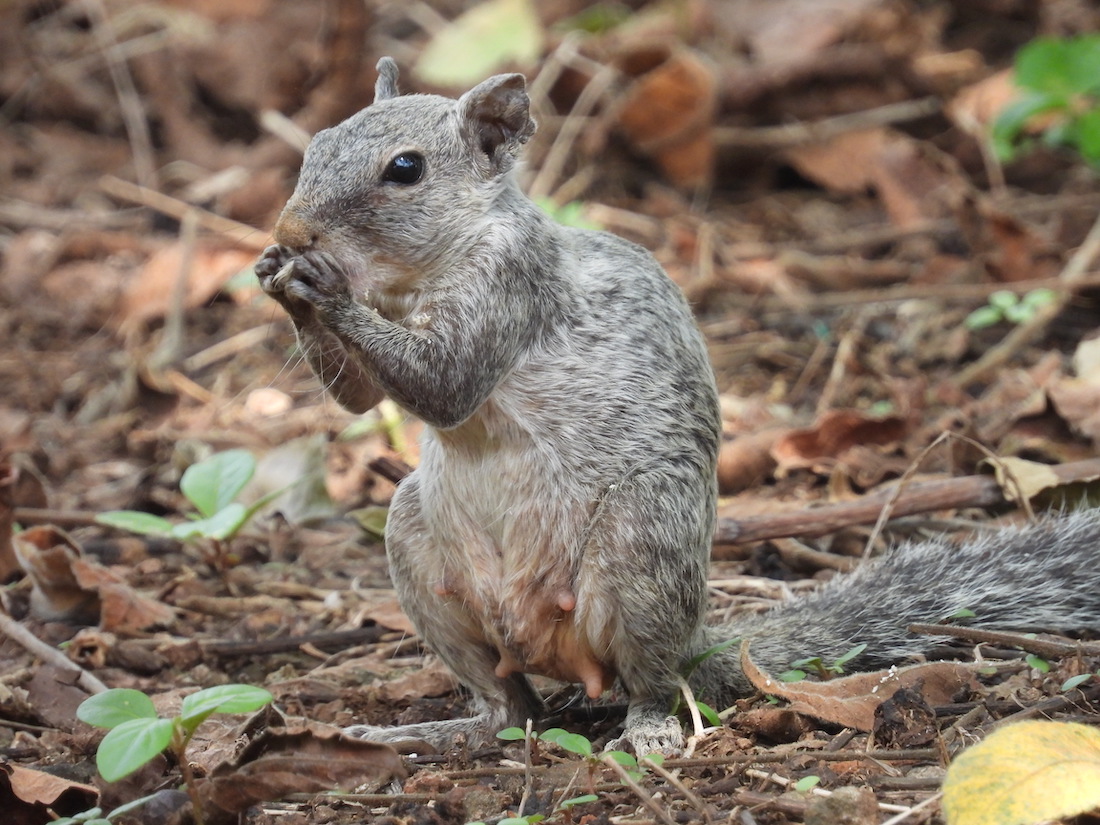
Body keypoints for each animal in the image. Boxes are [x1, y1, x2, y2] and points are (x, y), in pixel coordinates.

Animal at [255, 57, 1100, 755]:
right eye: (318, 143)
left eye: (406, 169)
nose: (291, 227)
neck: (421, 272)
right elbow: (361, 397)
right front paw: (281, 276)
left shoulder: (511, 285)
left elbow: (446, 381)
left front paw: (318, 284)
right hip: (420, 549)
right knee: (509, 707)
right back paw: (441, 729)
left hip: (642, 547)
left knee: (649, 679)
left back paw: (651, 727)